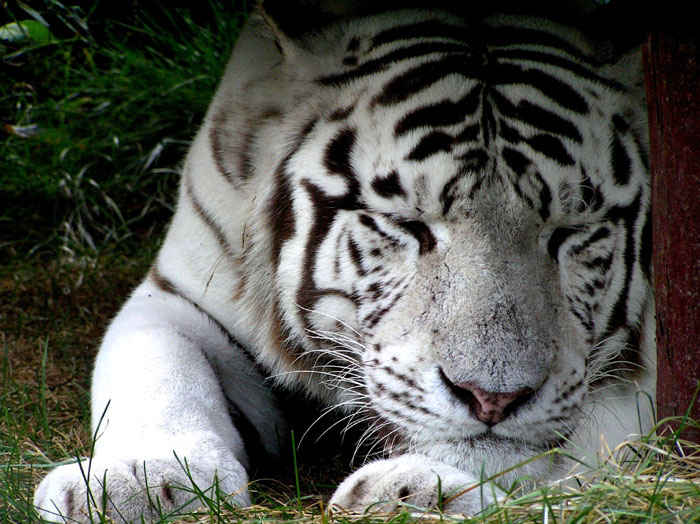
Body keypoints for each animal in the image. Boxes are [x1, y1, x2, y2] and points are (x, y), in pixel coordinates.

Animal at [34, 0, 655, 521]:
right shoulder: (178, 295)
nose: (492, 398)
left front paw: (415, 488)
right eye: (407, 224)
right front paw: (137, 483)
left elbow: (607, 436)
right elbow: (159, 370)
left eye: (570, 232)